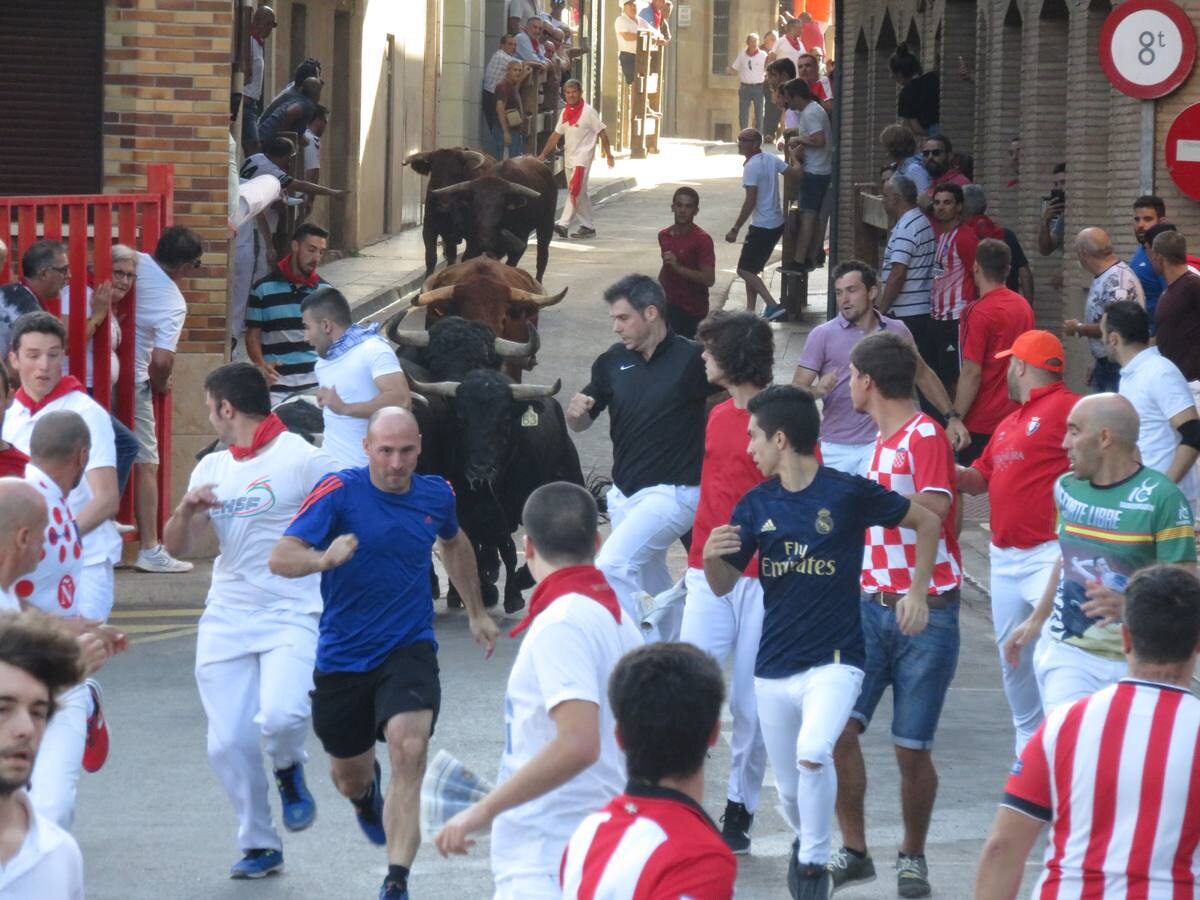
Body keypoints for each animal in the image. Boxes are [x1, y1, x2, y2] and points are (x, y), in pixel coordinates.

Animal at [405, 148, 494, 277]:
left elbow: (467, 258)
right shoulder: (430, 229)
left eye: (456, 173)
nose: (444, 204)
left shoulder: (472, 235)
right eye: (434, 174)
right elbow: (431, 257)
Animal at [427, 154, 556, 282]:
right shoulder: (474, 245)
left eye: (501, 206)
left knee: (542, 258)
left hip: (547, 225)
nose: (485, 238)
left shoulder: (519, 244)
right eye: (475, 205)